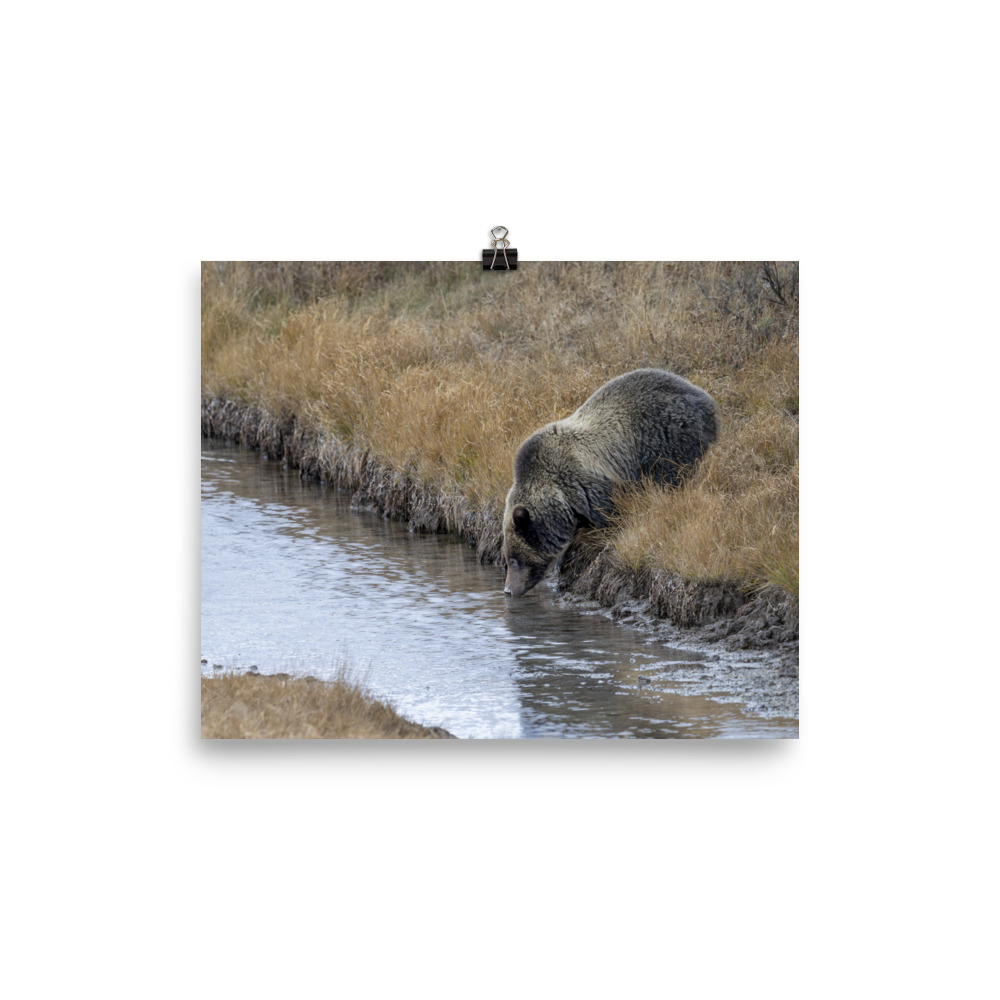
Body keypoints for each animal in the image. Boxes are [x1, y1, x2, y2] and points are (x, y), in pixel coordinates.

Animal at [502, 368, 717, 597]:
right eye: (507, 558)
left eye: (514, 559)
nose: (508, 590)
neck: (559, 495)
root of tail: (705, 397)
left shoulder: (588, 486)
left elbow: (609, 516)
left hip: (667, 436)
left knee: (670, 475)